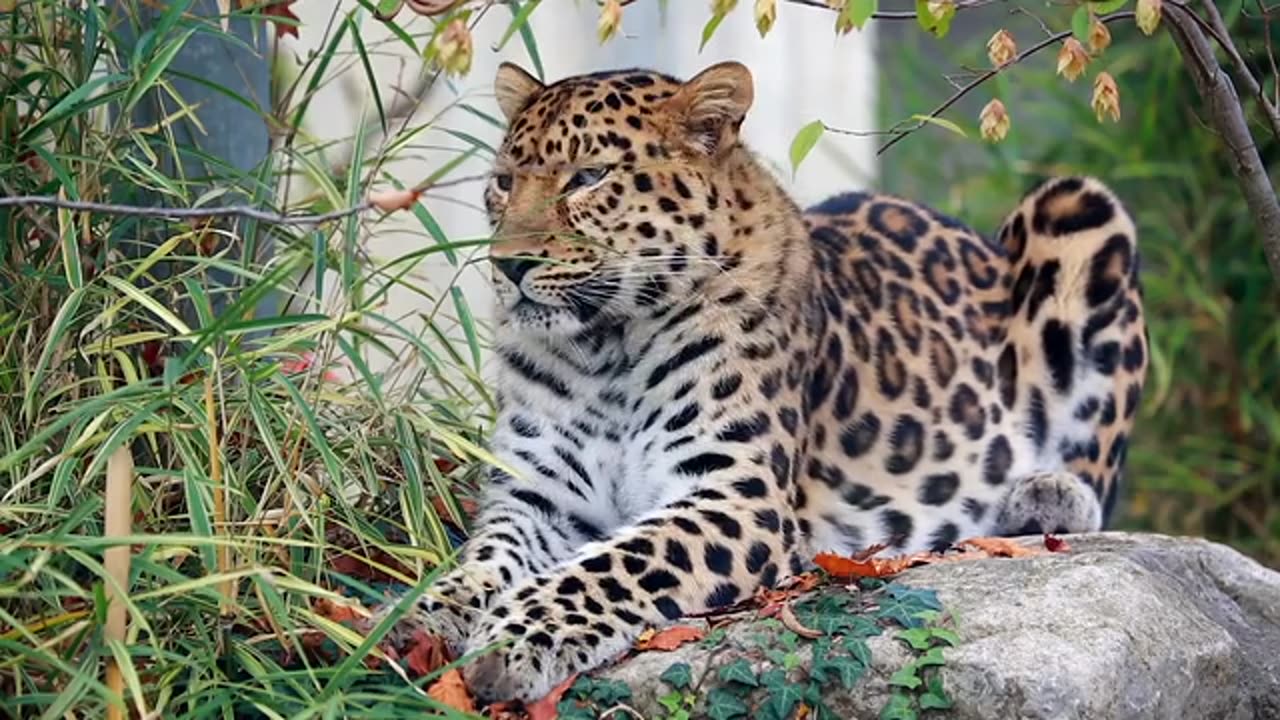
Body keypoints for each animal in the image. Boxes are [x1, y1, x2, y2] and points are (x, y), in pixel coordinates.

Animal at [371, 60, 1152, 702]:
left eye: (588, 179)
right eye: (503, 182)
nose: (506, 267)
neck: (605, 347)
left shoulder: (735, 493)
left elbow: (617, 563)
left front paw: (518, 638)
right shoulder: (538, 495)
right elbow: (480, 563)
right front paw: (408, 618)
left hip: (1082, 211)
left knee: (1098, 469)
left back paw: (1042, 496)